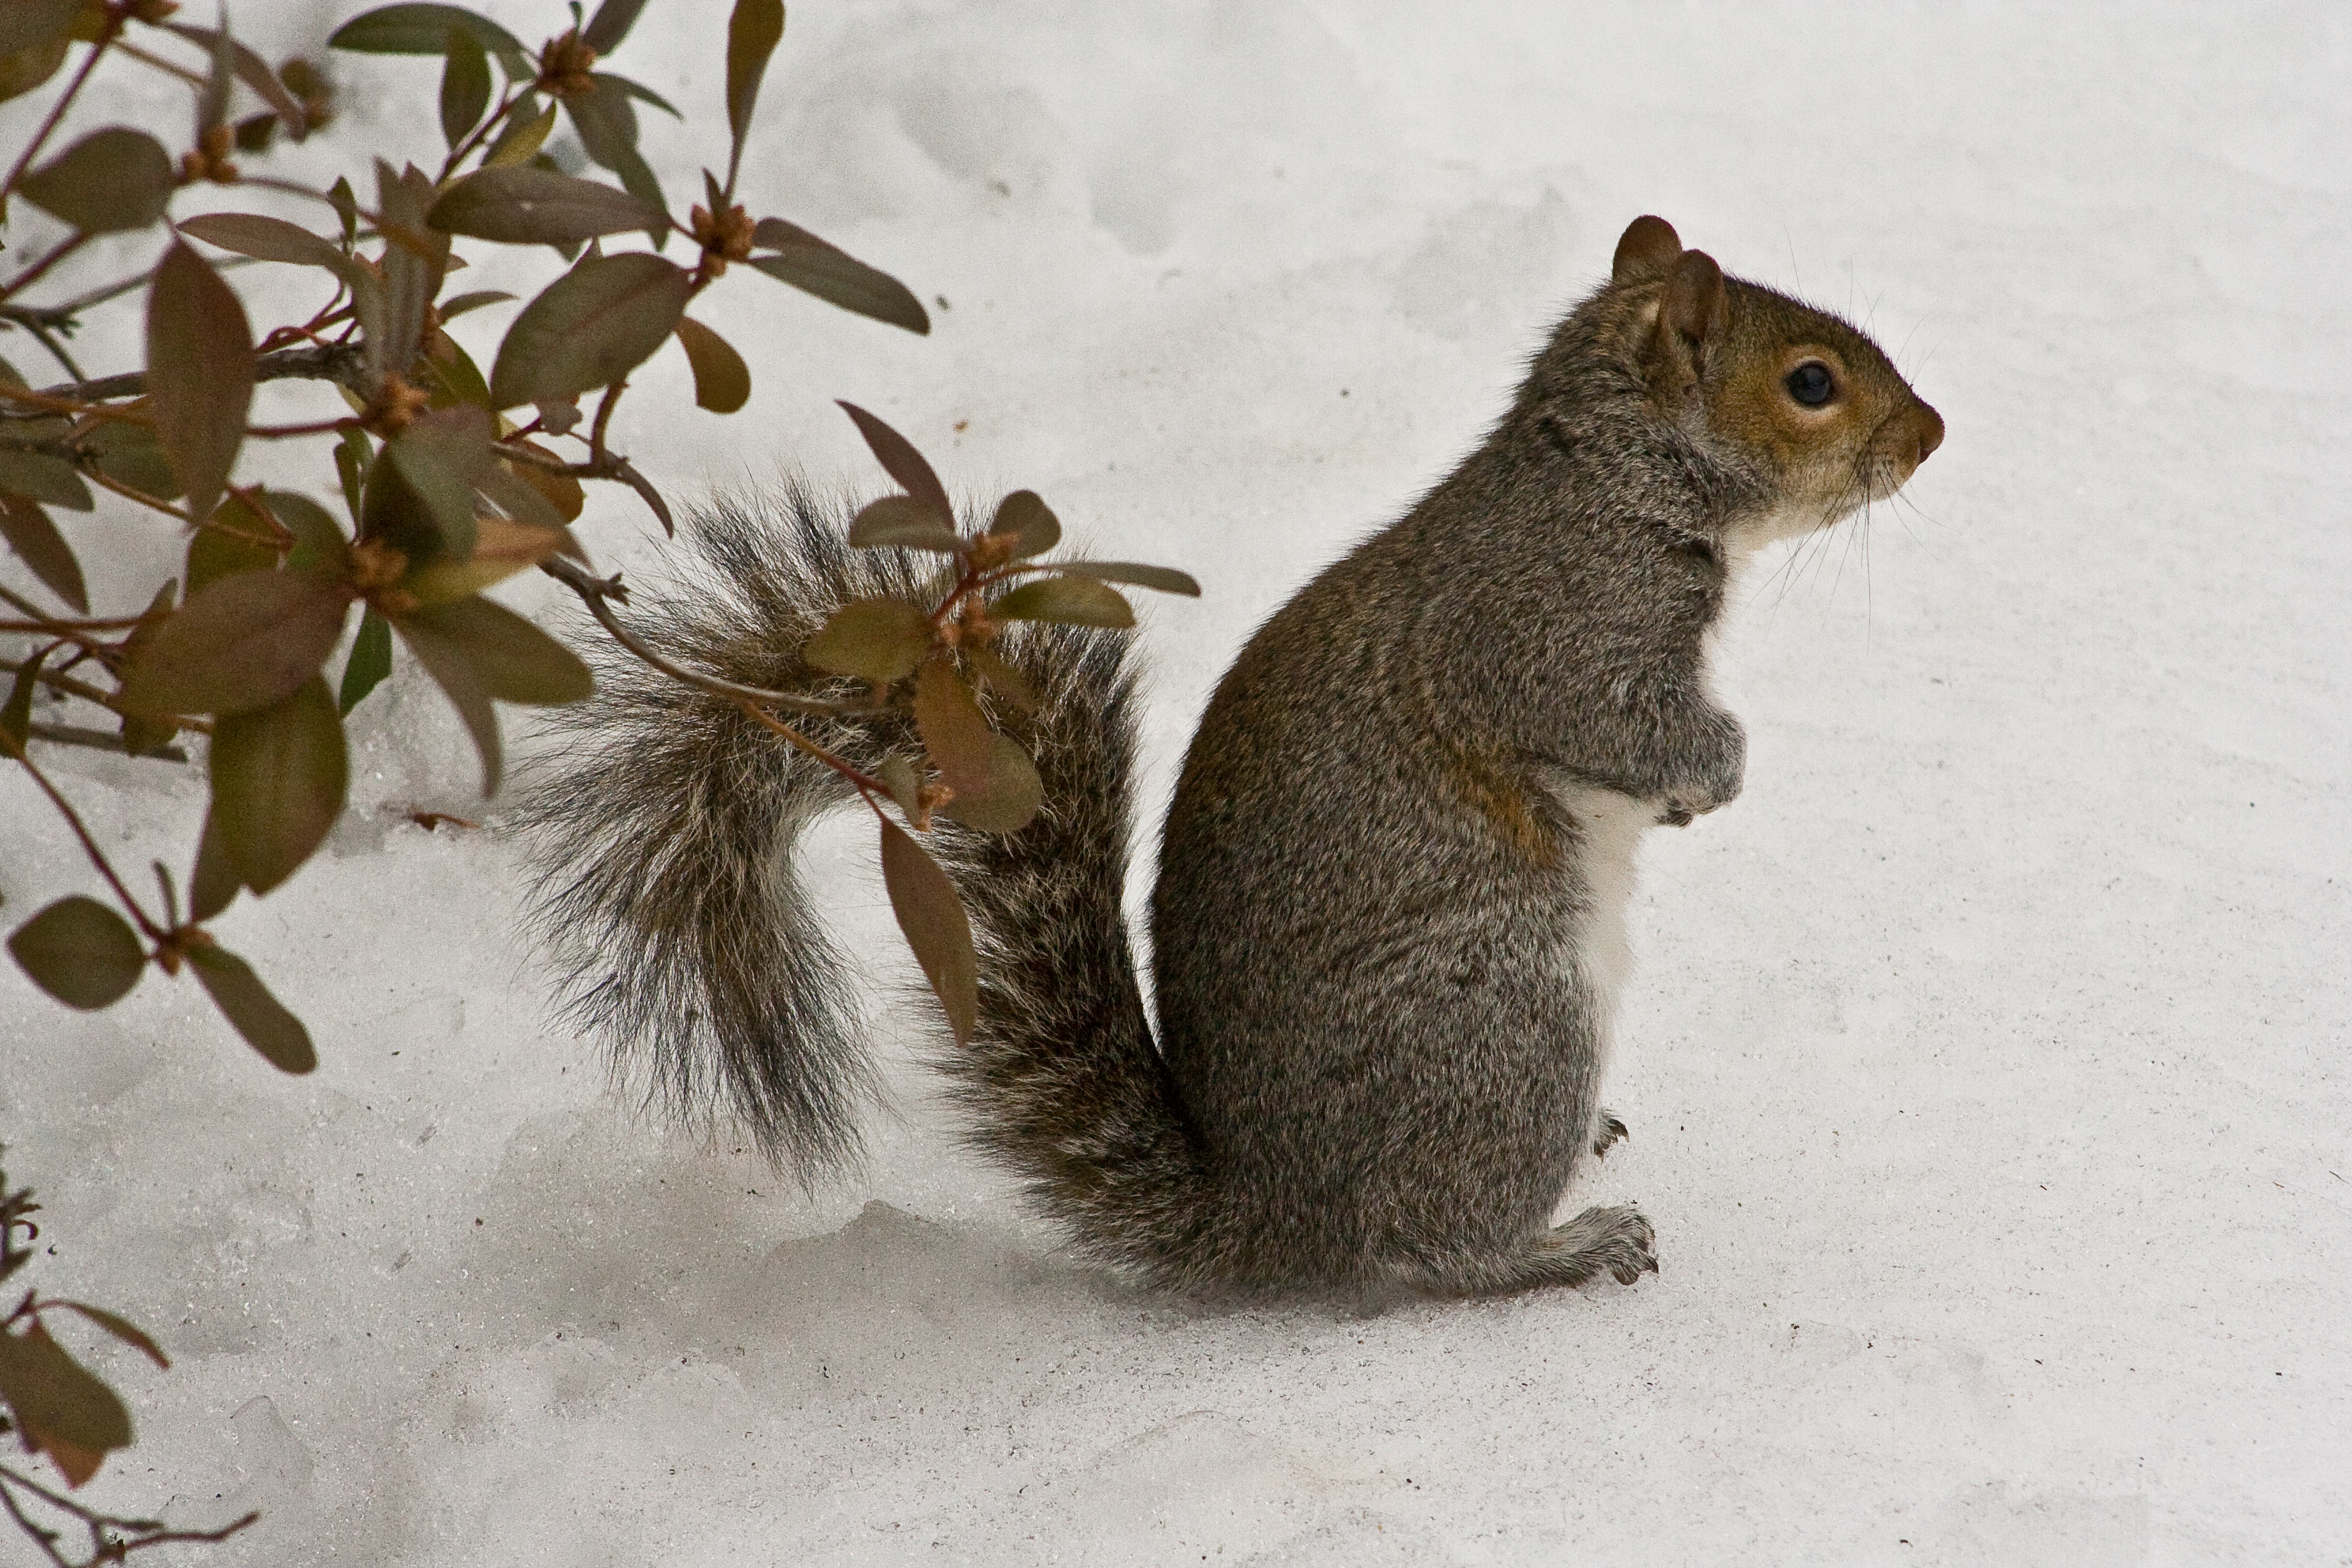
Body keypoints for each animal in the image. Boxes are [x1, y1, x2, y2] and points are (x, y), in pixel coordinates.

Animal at [519, 215, 1943, 1298]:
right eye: (1811, 382)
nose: (1929, 435)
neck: (1610, 475)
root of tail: (1271, 1215)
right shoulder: (1560, 631)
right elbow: (1616, 722)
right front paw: (1716, 768)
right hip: (1504, 1010)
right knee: (1430, 1247)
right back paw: (1562, 1244)